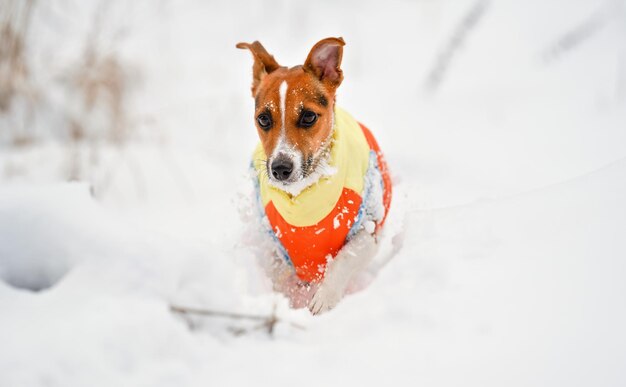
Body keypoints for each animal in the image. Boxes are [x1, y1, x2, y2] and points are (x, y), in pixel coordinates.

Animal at [238, 37, 390, 316]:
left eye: (308, 116)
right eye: (263, 119)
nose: (280, 168)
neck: (303, 196)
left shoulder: (369, 230)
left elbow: (345, 258)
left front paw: (323, 299)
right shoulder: (275, 244)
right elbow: (279, 273)